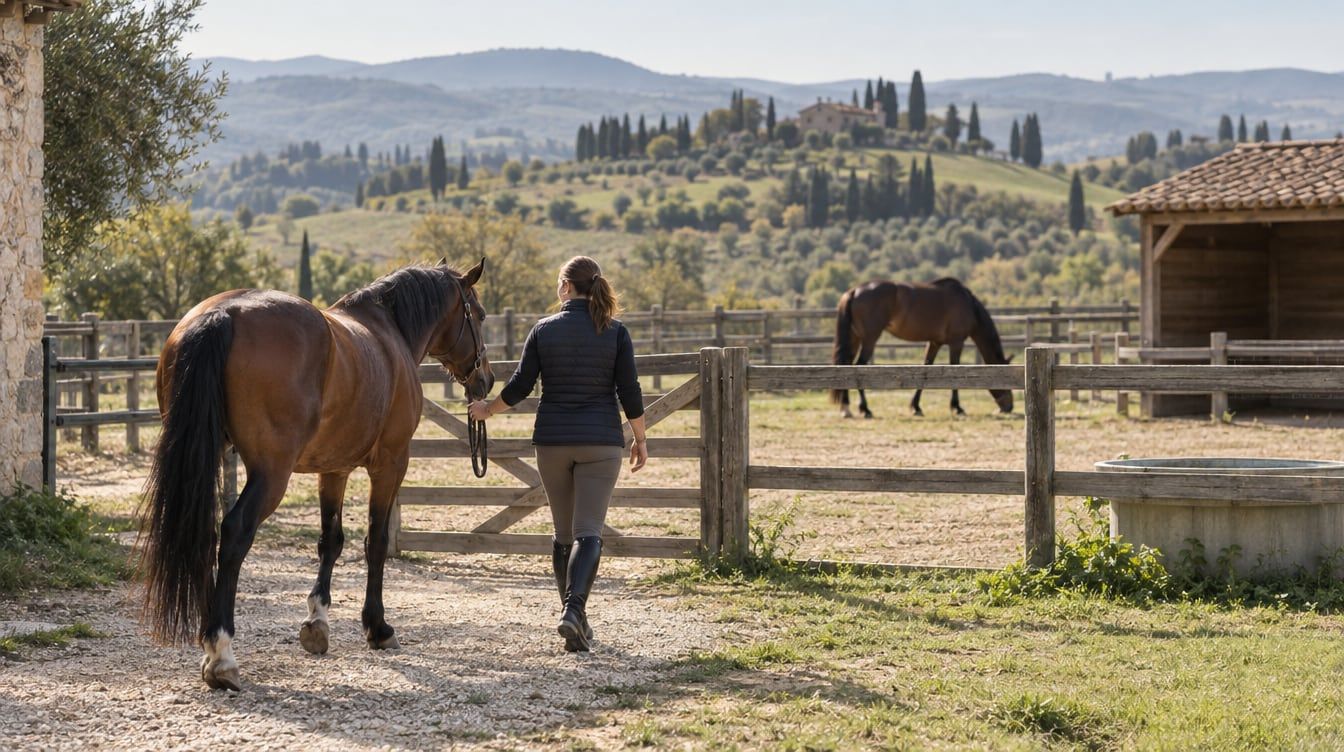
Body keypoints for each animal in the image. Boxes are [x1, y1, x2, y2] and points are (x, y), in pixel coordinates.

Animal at [138, 259, 493, 691]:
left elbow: (330, 541)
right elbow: (375, 542)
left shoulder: (334, 468)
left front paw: (317, 622)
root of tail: (221, 314)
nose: (486, 379)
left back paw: (209, 642)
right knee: (235, 532)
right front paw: (378, 627)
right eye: (479, 314)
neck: (389, 331)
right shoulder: (391, 463)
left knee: (204, 533)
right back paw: (221, 655)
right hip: (272, 473)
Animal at [830, 278, 1014, 418]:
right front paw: (957, 407)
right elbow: (954, 368)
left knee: (846, 366)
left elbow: (925, 370)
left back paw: (846, 408)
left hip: (854, 339)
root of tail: (854, 291)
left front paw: (916, 407)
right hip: (869, 339)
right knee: (858, 367)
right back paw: (865, 409)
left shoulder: (934, 343)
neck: (969, 305)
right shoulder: (956, 342)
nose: (1009, 407)